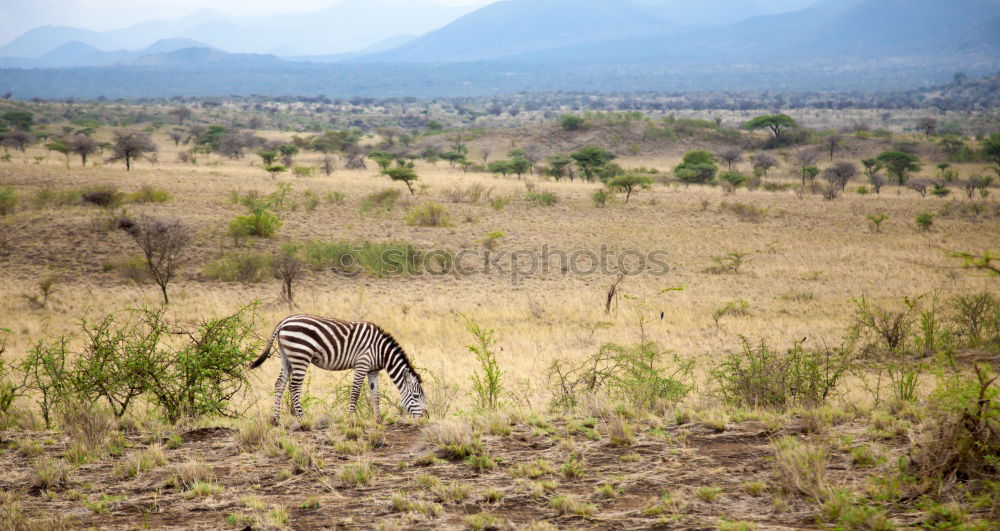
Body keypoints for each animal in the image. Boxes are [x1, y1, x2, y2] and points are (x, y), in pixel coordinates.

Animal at [250, 316, 426, 424]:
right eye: (416, 396)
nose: (425, 418)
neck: (381, 350)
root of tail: (284, 322)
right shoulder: (362, 364)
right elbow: (355, 393)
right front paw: (350, 418)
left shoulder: (373, 371)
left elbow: (376, 396)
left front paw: (378, 421)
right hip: (301, 356)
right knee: (294, 387)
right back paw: (302, 418)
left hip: (287, 357)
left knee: (280, 383)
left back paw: (276, 419)